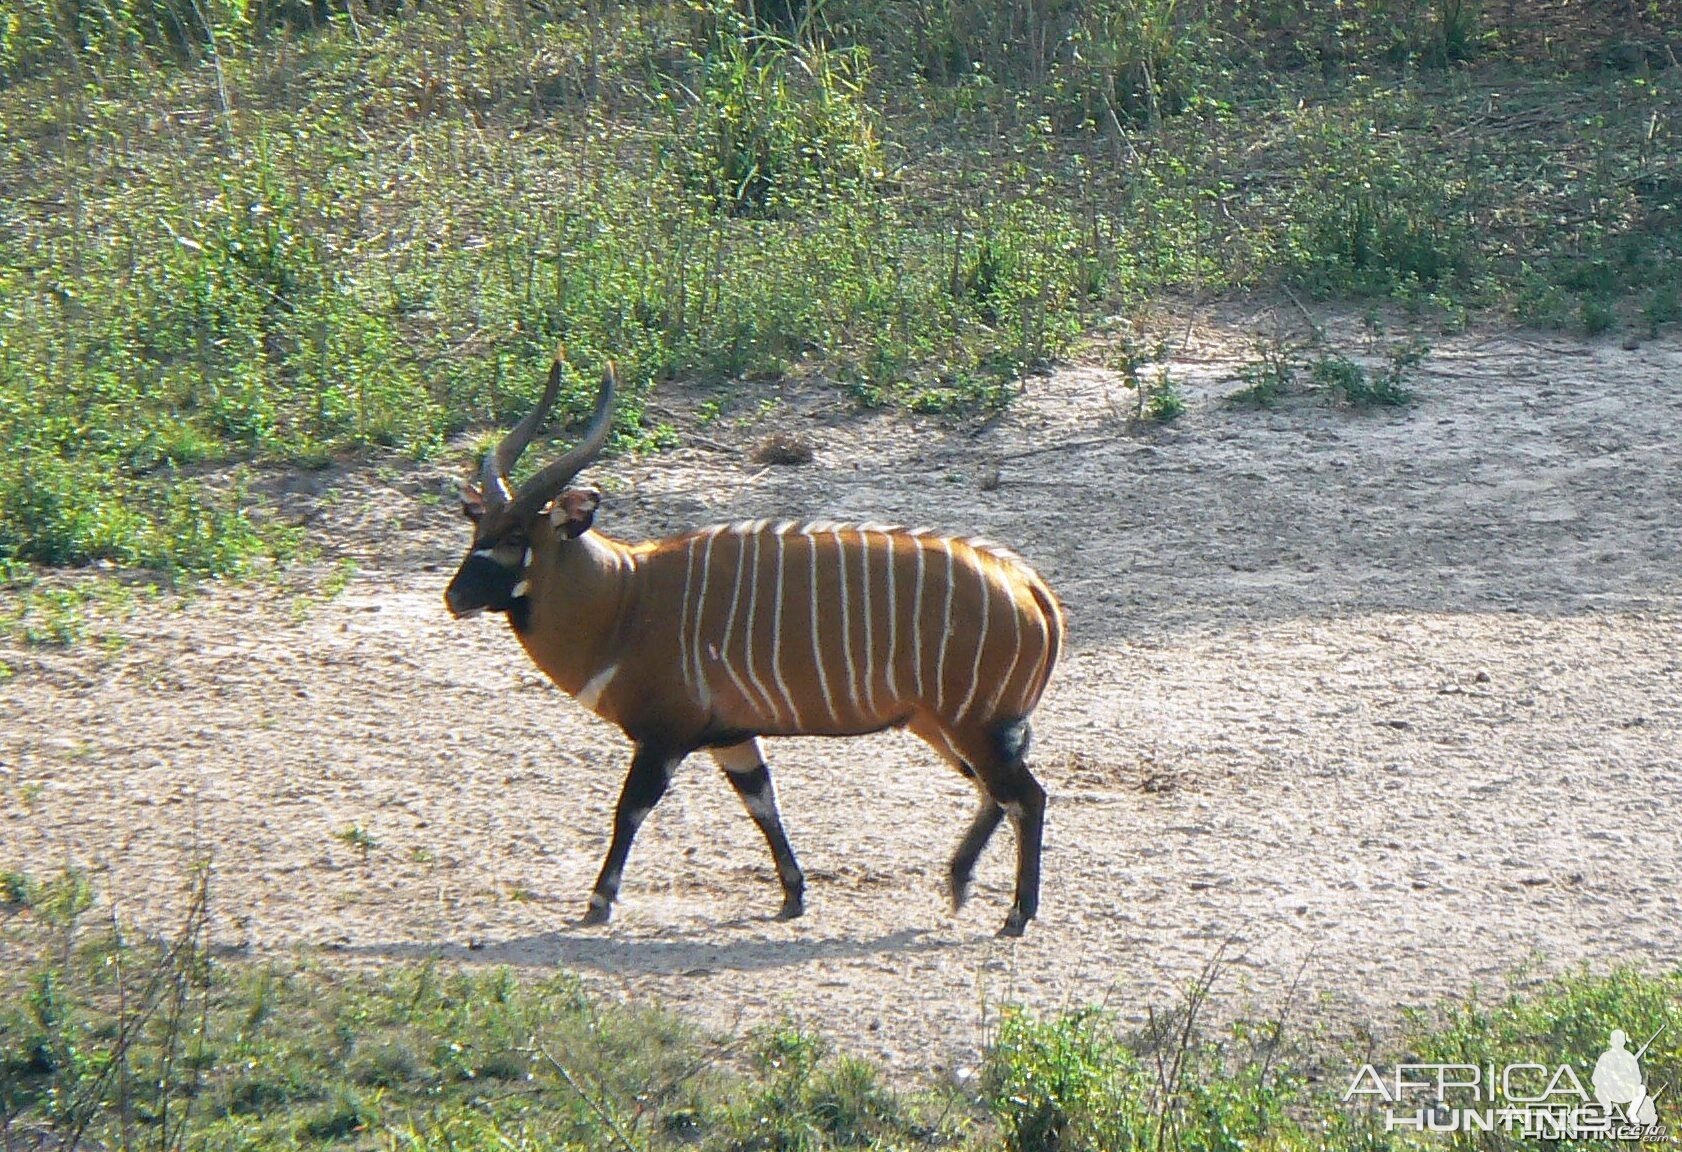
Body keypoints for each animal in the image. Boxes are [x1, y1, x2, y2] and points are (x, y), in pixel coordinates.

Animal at [447, 349, 1063, 935]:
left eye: (516, 537)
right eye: (478, 529)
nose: (455, 597)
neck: (625, 595)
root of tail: (1028, 585)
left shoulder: (664, 736)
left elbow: (630, 811)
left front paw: (599, 902)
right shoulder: (730, 737)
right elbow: (763, 803)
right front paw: (794, 895)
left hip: (971, 725)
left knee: (1026, 796)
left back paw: (1016, 915)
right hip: (942, 725)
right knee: (996, 793)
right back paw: (958, 884)